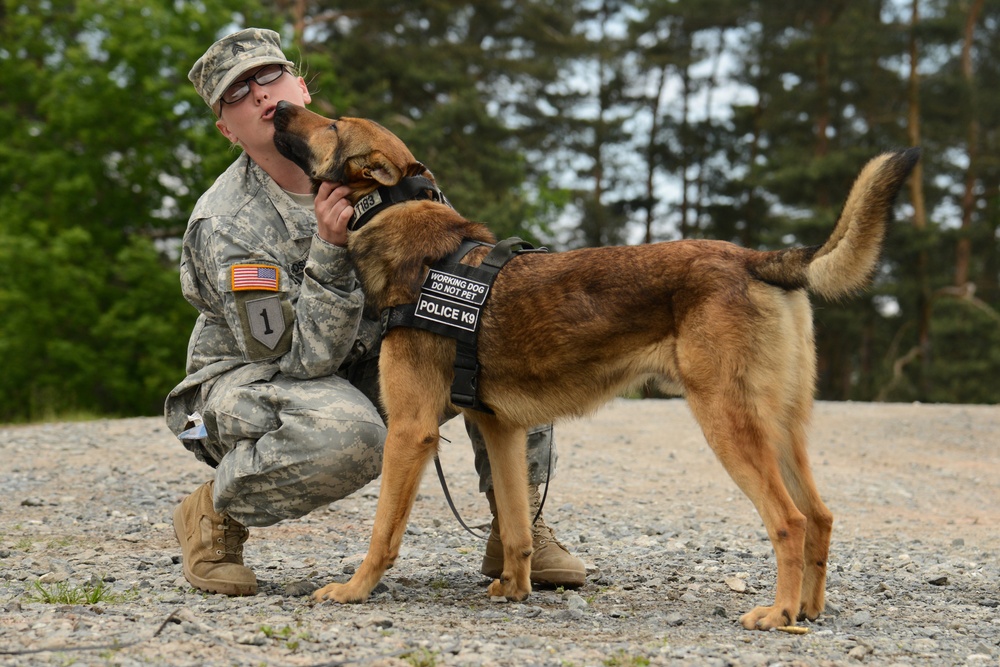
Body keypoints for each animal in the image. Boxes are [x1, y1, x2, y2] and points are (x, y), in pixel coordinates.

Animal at [270, 100, 916, 632]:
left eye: (331, 125)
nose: (278, 108)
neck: (415, 240)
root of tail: (756, 257)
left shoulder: (410, 431)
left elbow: (383, 530)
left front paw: (354, 590)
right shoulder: (500, 430)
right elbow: (516, 525)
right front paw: (515, 589)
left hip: (728, 423)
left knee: (790, 520)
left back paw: (779, 613)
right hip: (779, 427)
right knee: (821, 515)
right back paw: (808, 609)